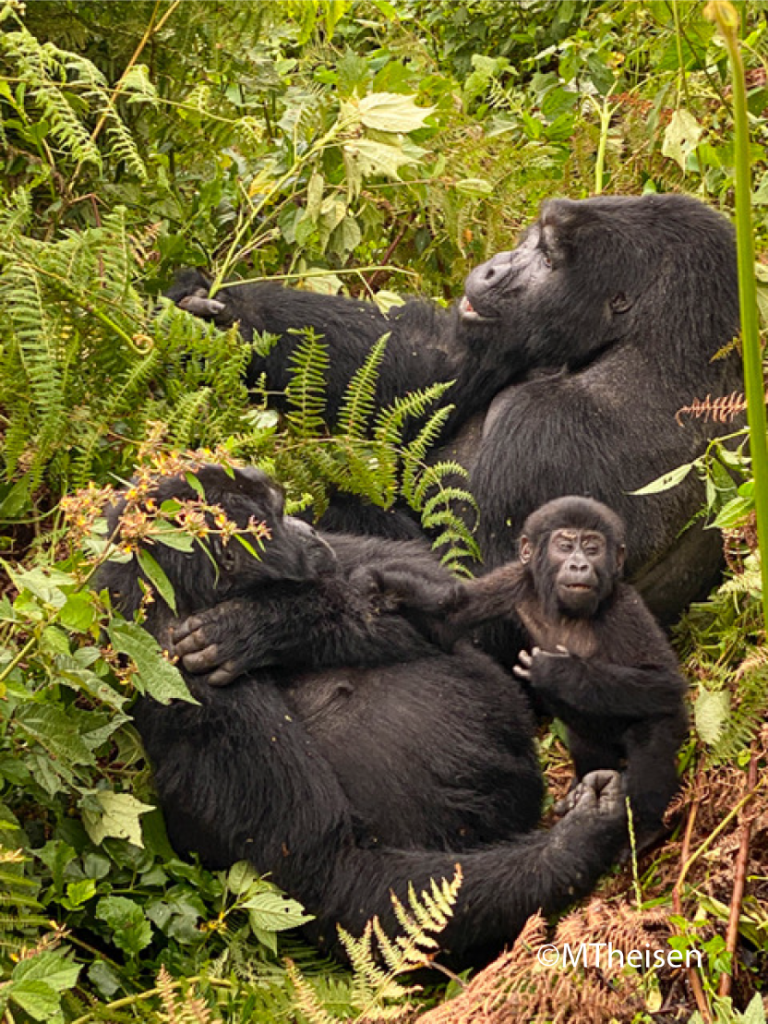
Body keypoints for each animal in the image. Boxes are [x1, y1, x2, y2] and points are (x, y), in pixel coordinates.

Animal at [96, 464, 626, 966]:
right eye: (278, 514)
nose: (306, 528)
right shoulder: (191, 687)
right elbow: (332, 870)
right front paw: (579, 841)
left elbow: (438, 590)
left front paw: (264, 622)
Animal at [169, 193, 745, 622]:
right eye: (532, 240)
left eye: (548, 259)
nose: (493, 269)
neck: (649, 350)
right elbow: (432, 363)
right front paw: (219, 313)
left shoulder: (547, 428)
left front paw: (262, 620)